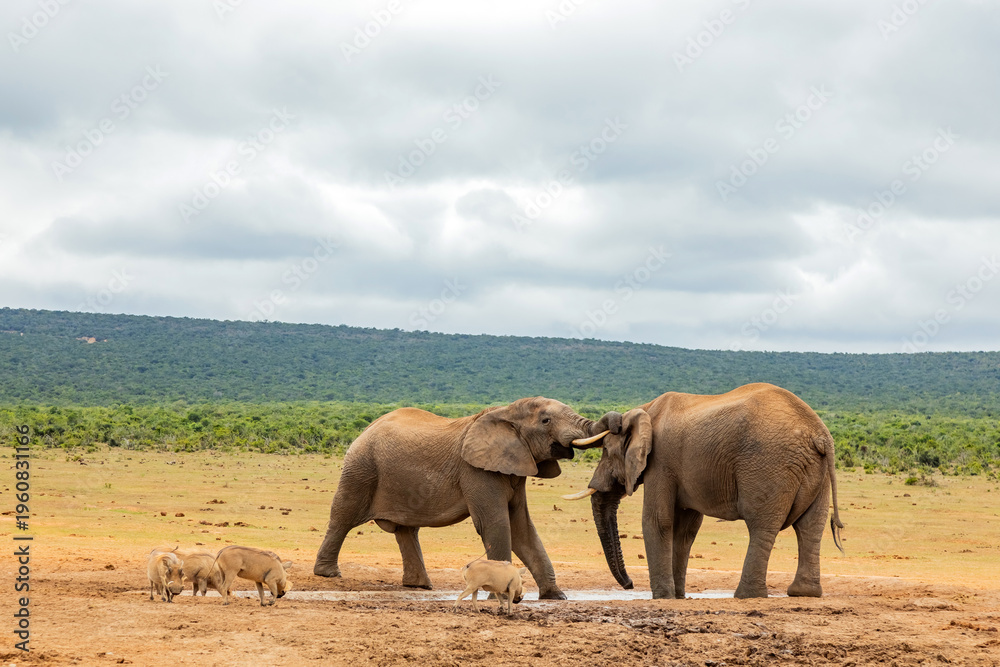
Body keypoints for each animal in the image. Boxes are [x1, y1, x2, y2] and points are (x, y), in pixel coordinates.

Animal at [313, 397, 621, 599]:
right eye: (546, 421)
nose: (617, 421)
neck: (506, 412)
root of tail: (364, 430)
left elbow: (522, 528)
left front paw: (556, 597)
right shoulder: (476, 470)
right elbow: (497, 525)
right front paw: (499, 597)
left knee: (406, 531)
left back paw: (419, 586)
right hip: (361, 468)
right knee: (343, 517)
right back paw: (328, 574)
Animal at [565, 383, 844, 599]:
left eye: (605, 452)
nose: (629, 585)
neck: (645, 409)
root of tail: (819, 434)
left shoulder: (661, 461)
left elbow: (657, 520)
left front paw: (663, 597)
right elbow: (685, 529)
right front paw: (677, 596)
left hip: (769, 465)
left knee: (762, 525)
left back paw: (748, 595)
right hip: (815, 472)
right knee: (810, 526)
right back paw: (804, 593)